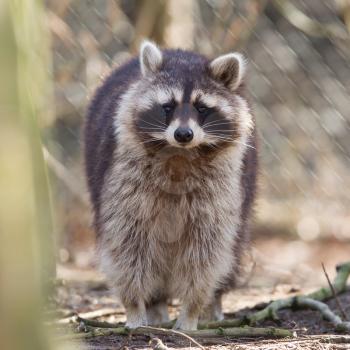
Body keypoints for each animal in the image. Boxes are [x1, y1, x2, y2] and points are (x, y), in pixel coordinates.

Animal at [84, 41, 258, 330]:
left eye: (202, 108)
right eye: (167, 106)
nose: (183, 134)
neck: (179, 154)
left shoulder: (222, 184)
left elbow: (206, 248)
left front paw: (192, 309)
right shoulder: (123, 176)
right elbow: (128, 243)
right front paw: (134, 306)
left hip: (244, 187)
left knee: (231, 248)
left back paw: (213, 303)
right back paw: (156, 305)